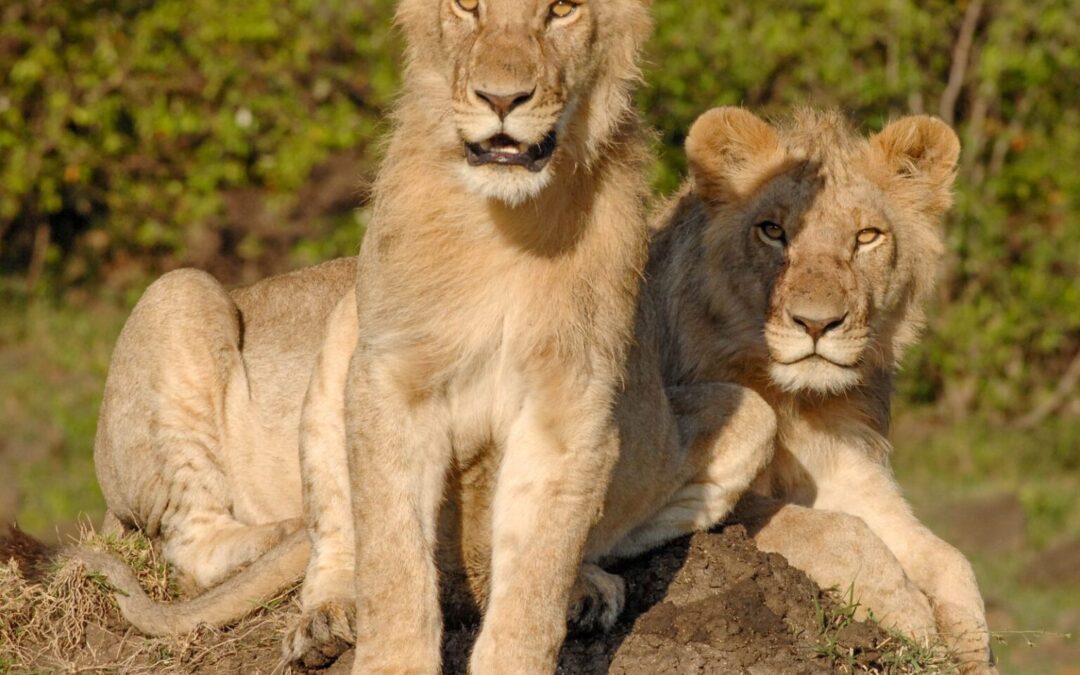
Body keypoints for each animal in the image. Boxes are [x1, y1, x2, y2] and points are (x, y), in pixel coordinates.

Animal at [653, 106, 995, 672]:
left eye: (867, 236)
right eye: (773, 231)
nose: (817, 324)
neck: (796, 402)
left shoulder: (851, 471)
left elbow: (950, 560)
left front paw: (969, 650)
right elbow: (841, 533)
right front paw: (913, 627)